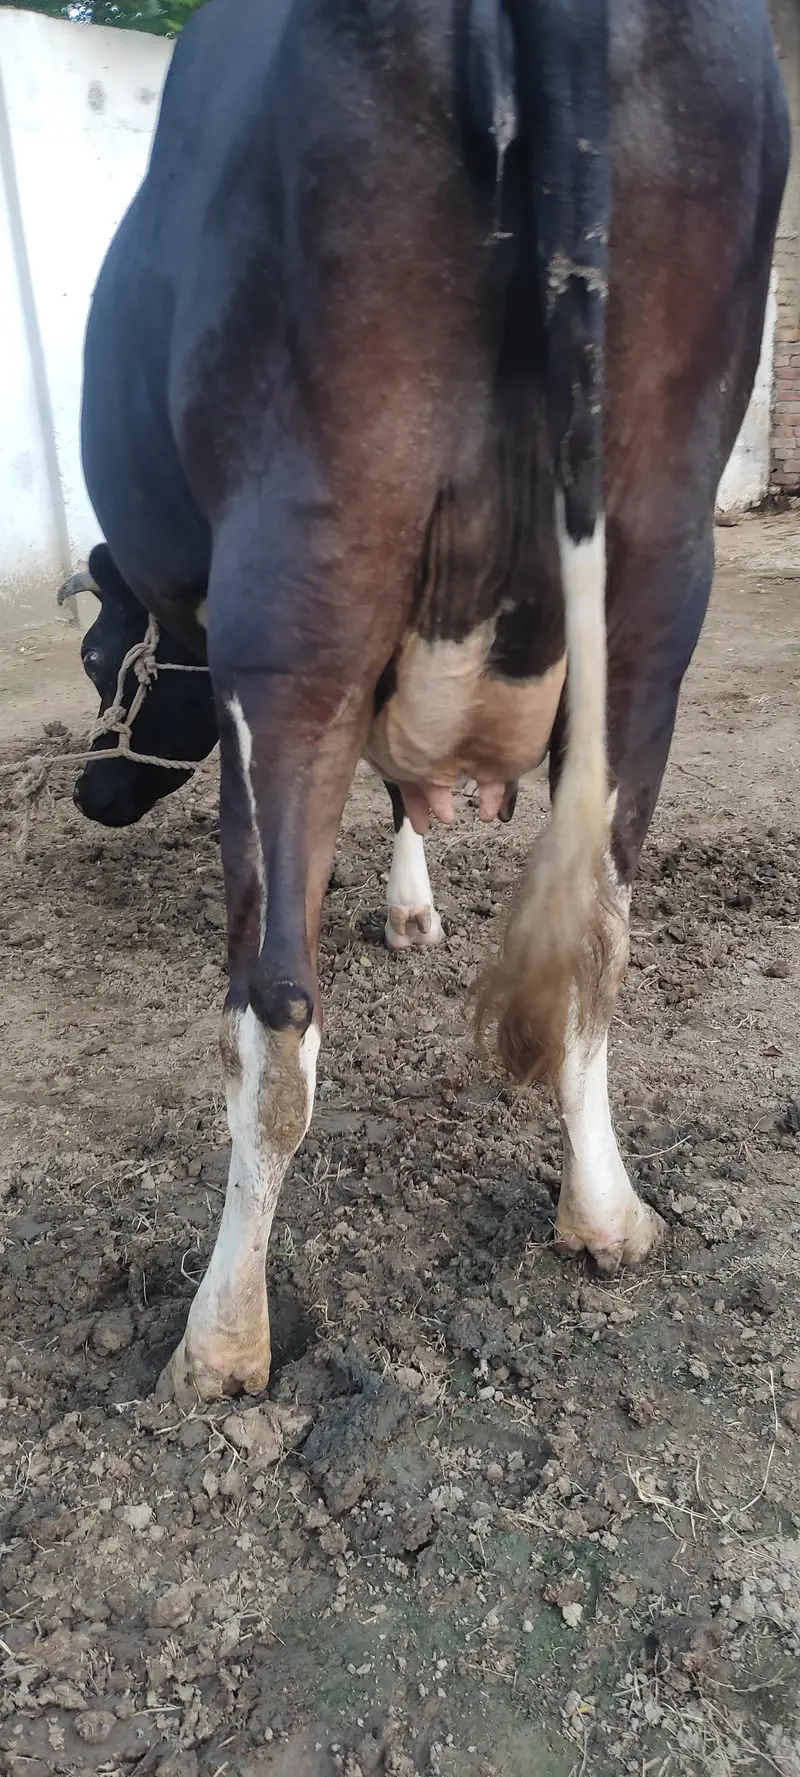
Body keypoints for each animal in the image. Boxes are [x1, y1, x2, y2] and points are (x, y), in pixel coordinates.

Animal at [75, 0, 789, 1401]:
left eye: (93, 659)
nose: (89, 787)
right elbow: (415, 788)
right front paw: (416, 911)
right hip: (653, 592)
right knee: (596, 948)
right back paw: (608, 1217)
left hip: (298, 579)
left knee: (276, 1013)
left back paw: (222, 1338)